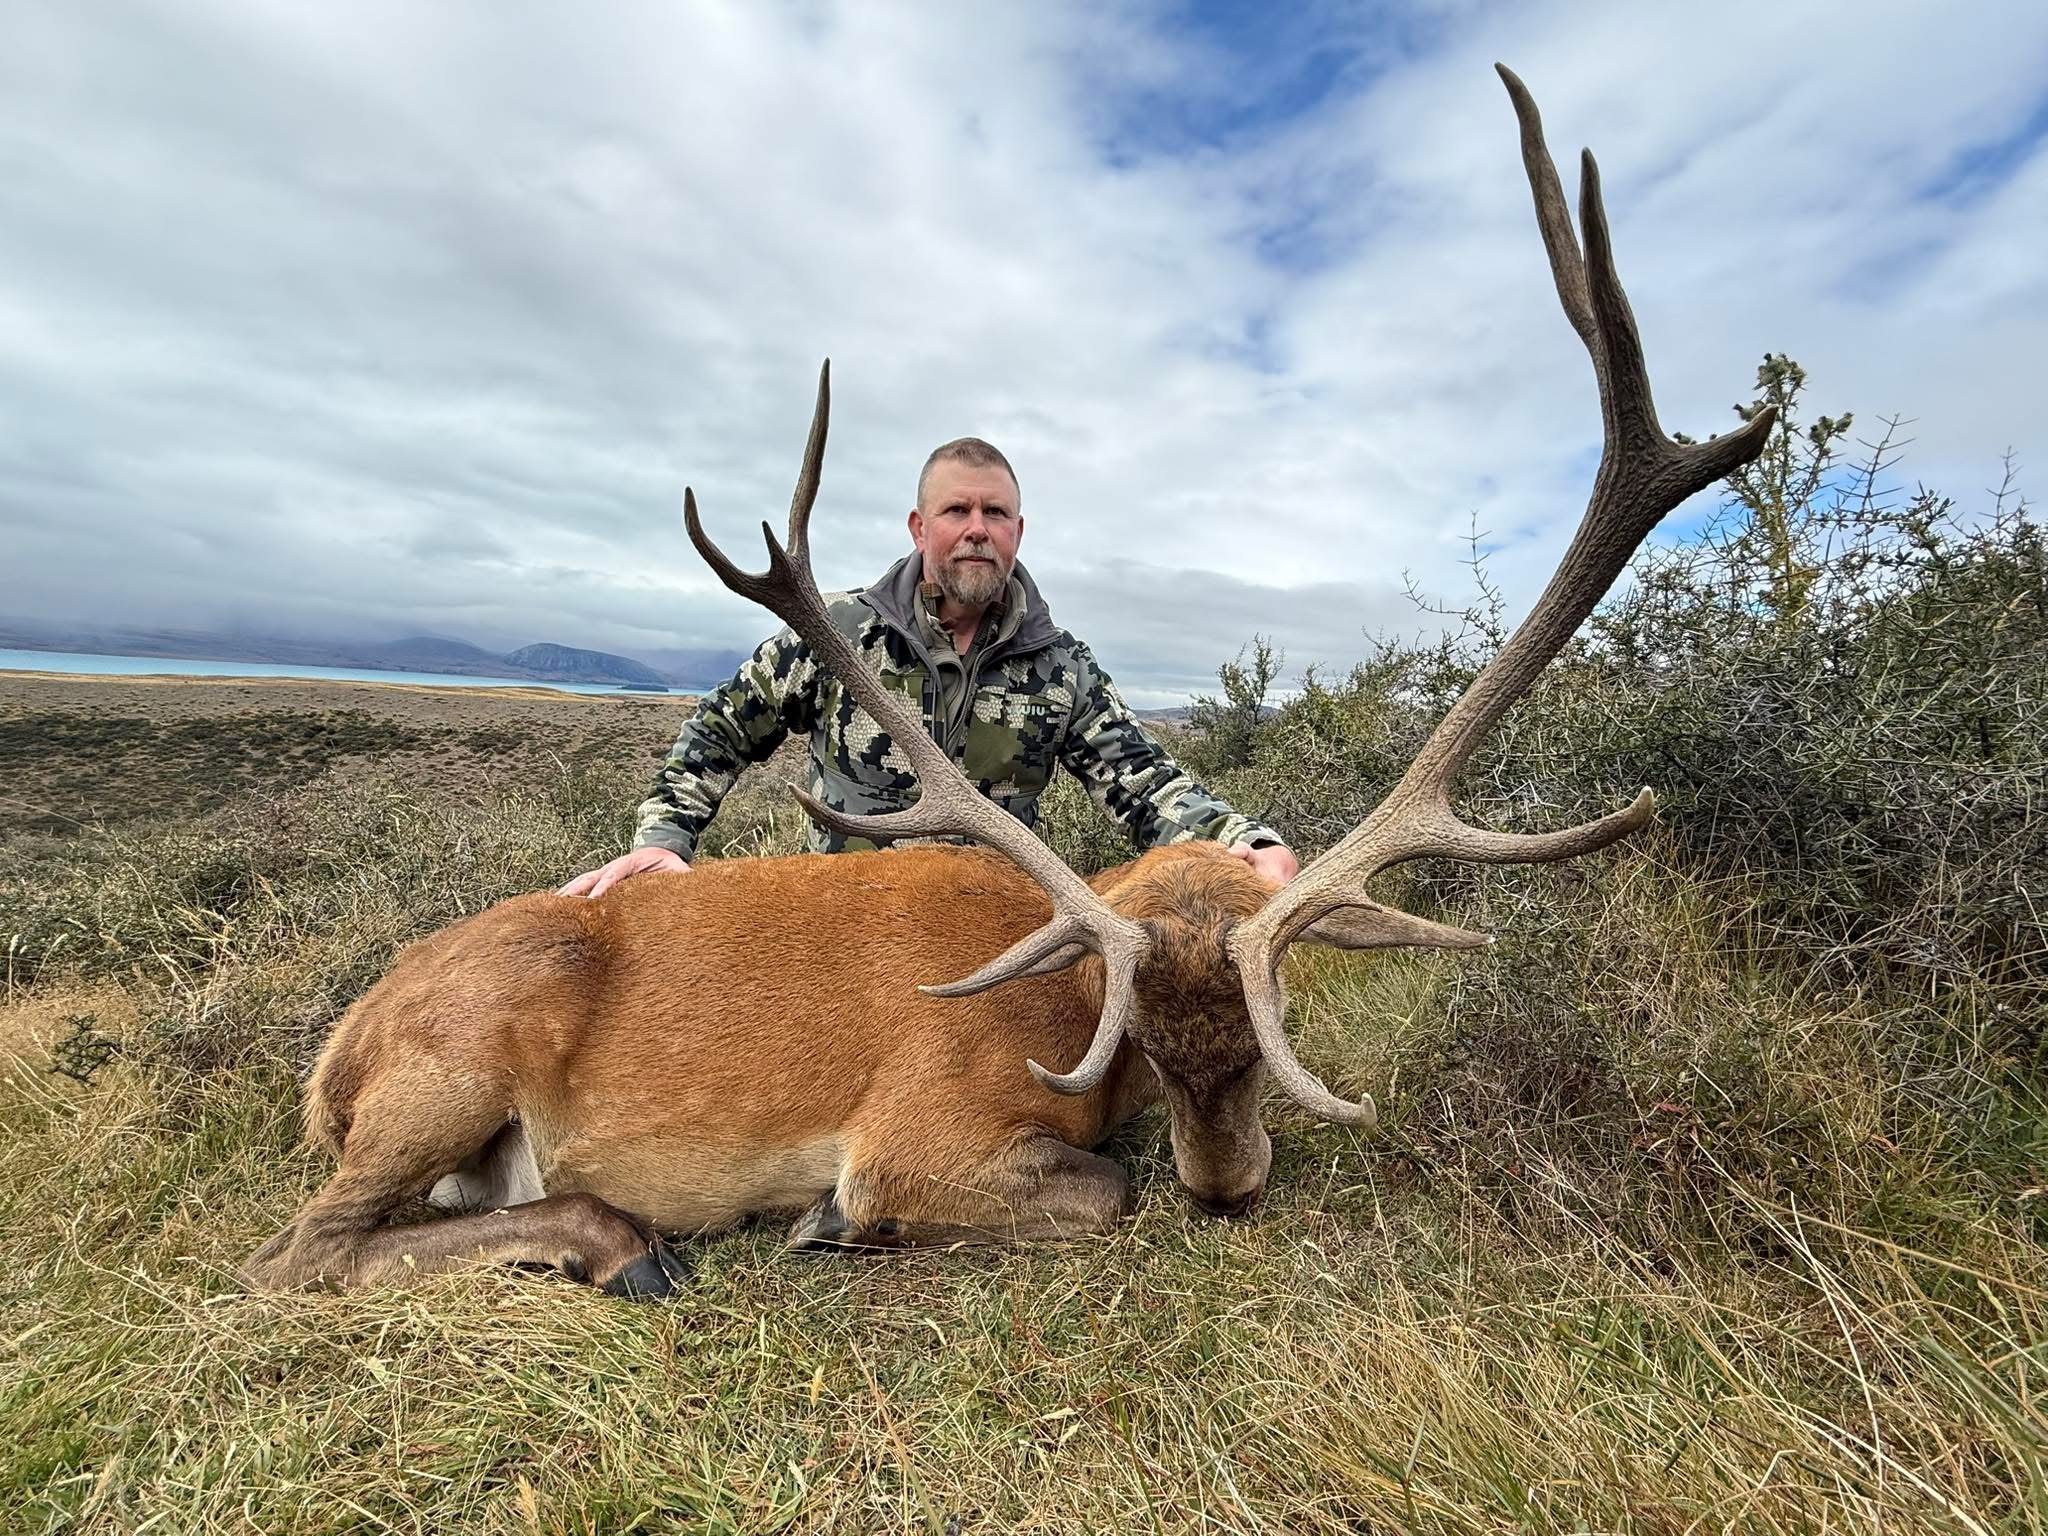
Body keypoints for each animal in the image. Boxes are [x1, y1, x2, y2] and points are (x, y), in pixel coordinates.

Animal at [242, 67, 1774, 1298]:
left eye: (1259, 1042)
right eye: (1150, 1046)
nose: (1230, 1192)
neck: (1054, 1005)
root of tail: (336, 1052)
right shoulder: (917, 1140)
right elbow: (1097, 1187)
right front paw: (829, 1224)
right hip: (448, 1070)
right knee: (301, 1251)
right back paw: (621, 1241)